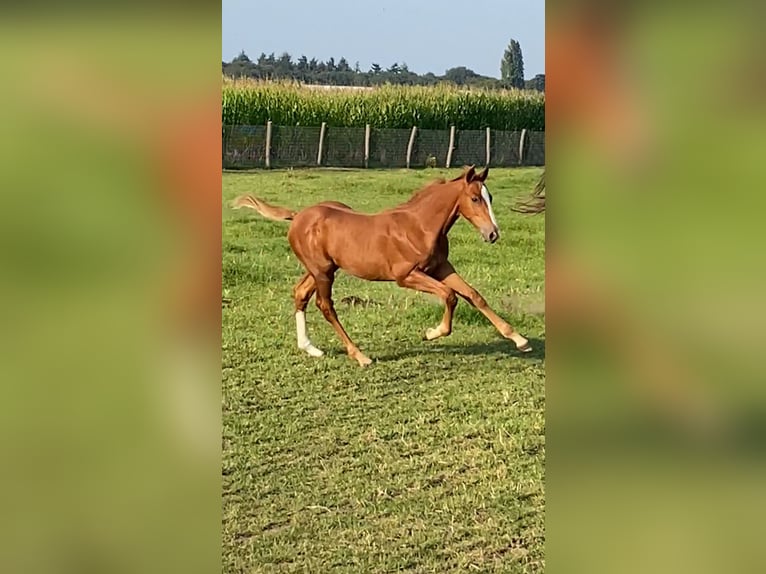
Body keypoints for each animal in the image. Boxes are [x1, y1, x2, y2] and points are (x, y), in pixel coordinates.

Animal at [234, 165, 536, 368]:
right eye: (475, 198)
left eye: (491, 197)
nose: (492, 234)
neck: (420, 226)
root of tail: (297, 216)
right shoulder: (407, 276)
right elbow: (450, 296)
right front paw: (432, 333)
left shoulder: (442, 268)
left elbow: (474, 295)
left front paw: (520, 340)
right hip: (322, 272)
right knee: (325, 305)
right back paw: (359, 355)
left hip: (323, 269)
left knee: (300, 294)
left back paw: (310, 348)